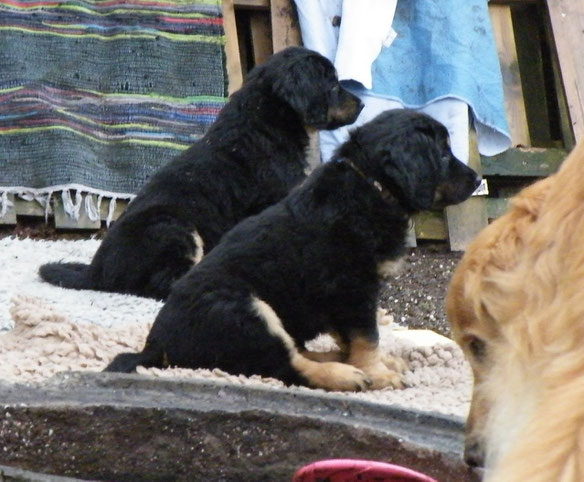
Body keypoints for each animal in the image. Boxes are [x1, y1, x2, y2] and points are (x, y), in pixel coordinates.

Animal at [38, 47, 362, 300]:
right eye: (333, 86)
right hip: (172, 226)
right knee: (162, 284)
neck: (268, 122)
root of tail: (96, 273)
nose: (362, 104)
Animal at [105, 110, 480, 392]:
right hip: (243, 310)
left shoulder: (342, 298)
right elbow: (366, 336)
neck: (371, 185)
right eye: (443, 154)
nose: (478, 180)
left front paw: (378, 364)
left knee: (295, 352)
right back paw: (345, 375)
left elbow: (350, 337)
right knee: (285, 367)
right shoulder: (353, 288)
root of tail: (156, 347)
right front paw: (378, 373)